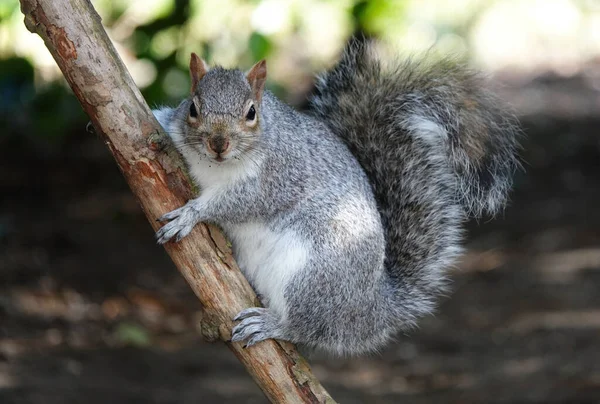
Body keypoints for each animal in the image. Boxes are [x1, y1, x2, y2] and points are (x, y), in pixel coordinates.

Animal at [151, 39, 520, 356]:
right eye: (193, 108)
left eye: (251, 113)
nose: (218, 143)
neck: (214, 165)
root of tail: (370, 309)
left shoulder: (280, 176)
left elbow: (241, 202)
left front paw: (192, 213)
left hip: (315, 275)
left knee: (310, 327)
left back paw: (273, 324)